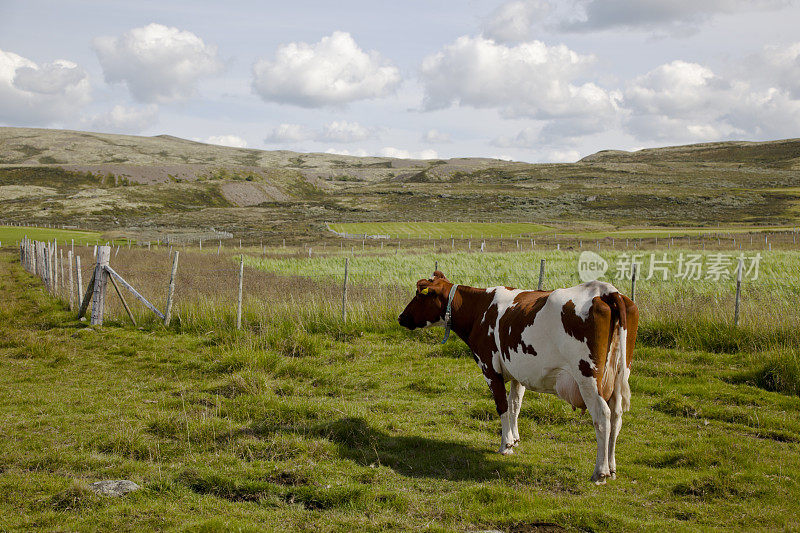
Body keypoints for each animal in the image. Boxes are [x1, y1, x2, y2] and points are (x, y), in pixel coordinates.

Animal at [398, 272, 636, 484]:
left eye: (419, 294)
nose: (400, 317)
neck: (479, 309)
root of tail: (605, 290)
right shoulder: (517, 373)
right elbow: (515, 405)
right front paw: (515, 439)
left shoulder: (490, 369)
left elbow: (502, 406)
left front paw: (505, 445)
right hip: (619, 375)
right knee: (616, 417)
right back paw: (612, 468)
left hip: (588, 378)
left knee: (602, 416)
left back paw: (600, 472)